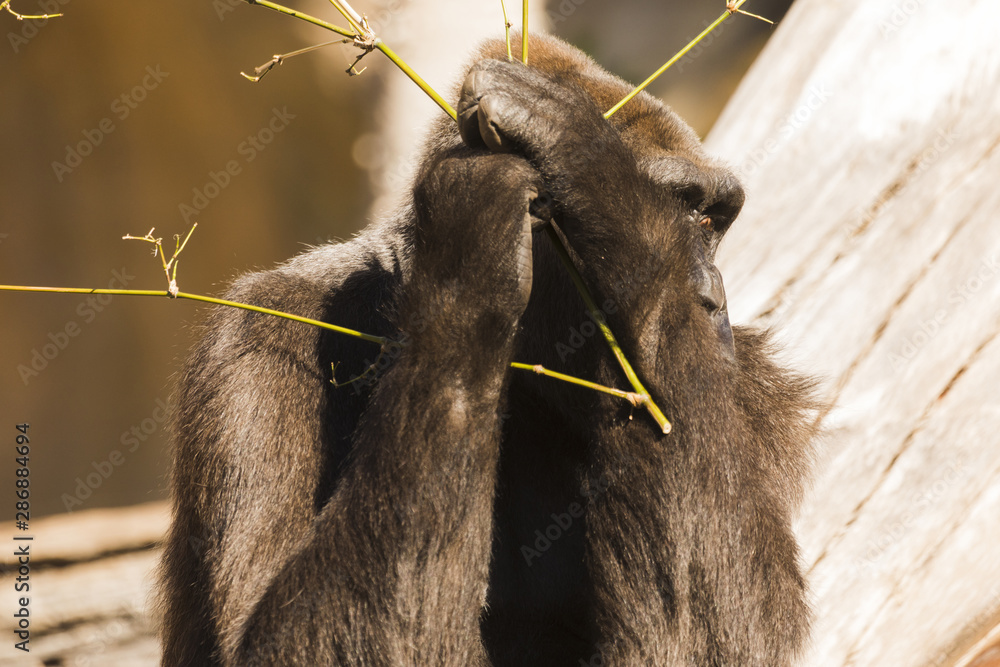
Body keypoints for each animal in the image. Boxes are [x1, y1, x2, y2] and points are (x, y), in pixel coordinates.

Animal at [158, 33, 817, 667]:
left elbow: (721, 642)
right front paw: (470, 258)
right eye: (681, 212)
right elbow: (269, 640)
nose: (709, 300)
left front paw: (593, 169)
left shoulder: (752, 384)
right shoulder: (261, 336)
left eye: (709, 221)